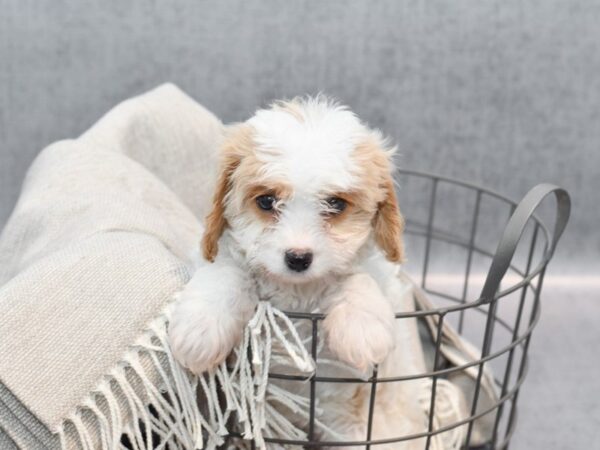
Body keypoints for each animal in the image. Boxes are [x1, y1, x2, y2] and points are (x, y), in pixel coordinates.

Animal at [169, 96, 426, 448]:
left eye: (335, 204)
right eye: (266, 201)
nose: (298, 258)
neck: (298, 291)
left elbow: (359, 276)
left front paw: (361, 329)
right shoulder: (224, 254)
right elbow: (225, 272)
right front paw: (200, 329)